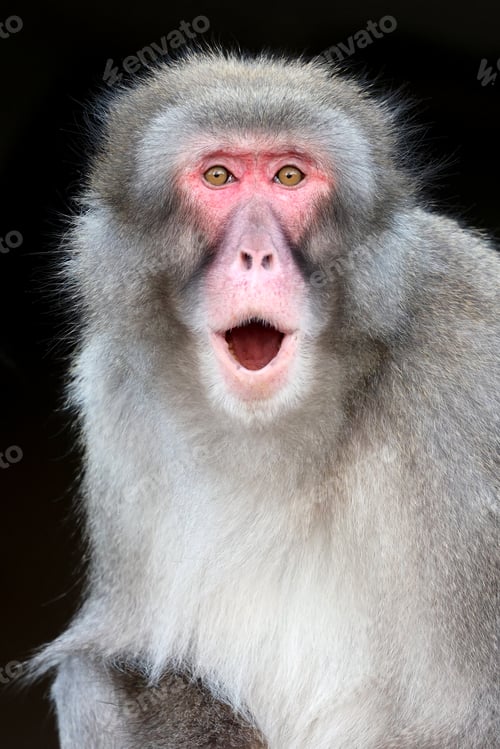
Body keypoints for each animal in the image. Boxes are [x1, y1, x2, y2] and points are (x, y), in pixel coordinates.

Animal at [33, 50, 499, 748]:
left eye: (288, 176)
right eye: (219, 176)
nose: (257, 254)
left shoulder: (467, 391)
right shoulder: (114, 392)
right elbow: (112, 666)